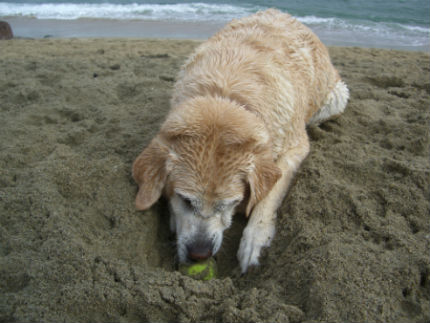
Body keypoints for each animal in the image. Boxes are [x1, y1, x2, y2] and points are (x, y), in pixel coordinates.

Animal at [132, 8, 350, 274]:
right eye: (185, 200)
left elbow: (271, 190)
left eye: (232, 203)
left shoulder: (296, 145)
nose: (199, 253)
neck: (225, 93)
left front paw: (255, 238)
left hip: (337, 96)